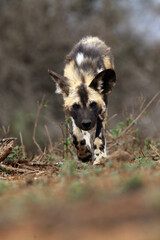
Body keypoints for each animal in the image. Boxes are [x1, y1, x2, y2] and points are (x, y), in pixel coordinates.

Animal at [48, 36, 115, 165]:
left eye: (93, 104)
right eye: (75, 106)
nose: (86, 123)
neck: (82, 76)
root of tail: (91, 38)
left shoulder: (102, 112)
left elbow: (99, 138)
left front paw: (99, 158)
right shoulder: (72, 115)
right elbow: (77, 136)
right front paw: (84, 154)